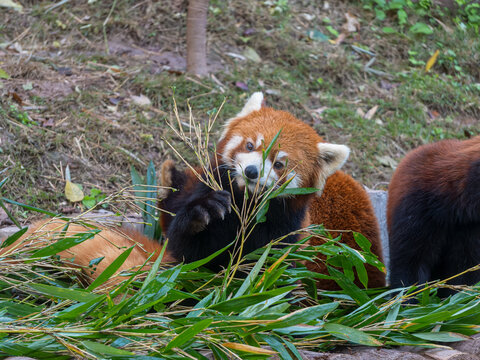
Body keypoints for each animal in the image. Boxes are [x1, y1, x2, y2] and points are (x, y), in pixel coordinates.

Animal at [0, 93, 386, 290]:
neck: (244, 208)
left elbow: (265, 273)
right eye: (250, 145)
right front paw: (202, 214)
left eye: (279, 164)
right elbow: (186, 249)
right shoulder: (208, 195)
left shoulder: (286, 234)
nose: (250, 172)